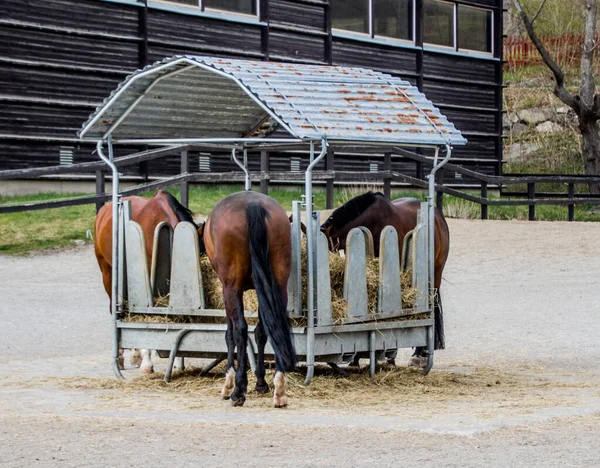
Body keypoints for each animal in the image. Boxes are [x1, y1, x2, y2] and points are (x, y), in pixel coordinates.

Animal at [94, 188, 202, 374]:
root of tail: (104, 210)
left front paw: (176, 362)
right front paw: (147, 363)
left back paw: (135, 355)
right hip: (107, 273)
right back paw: (122, 357)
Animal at [199, 190, 298, 406]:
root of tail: (253, 205)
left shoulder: (228, 290)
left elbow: (231, 334)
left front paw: (229, 383)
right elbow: (261, 332)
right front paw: (261, 382)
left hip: (232, 289)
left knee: (240, 330)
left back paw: (238, 391)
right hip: (278, 285)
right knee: (271, 326)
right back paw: (279, 388)